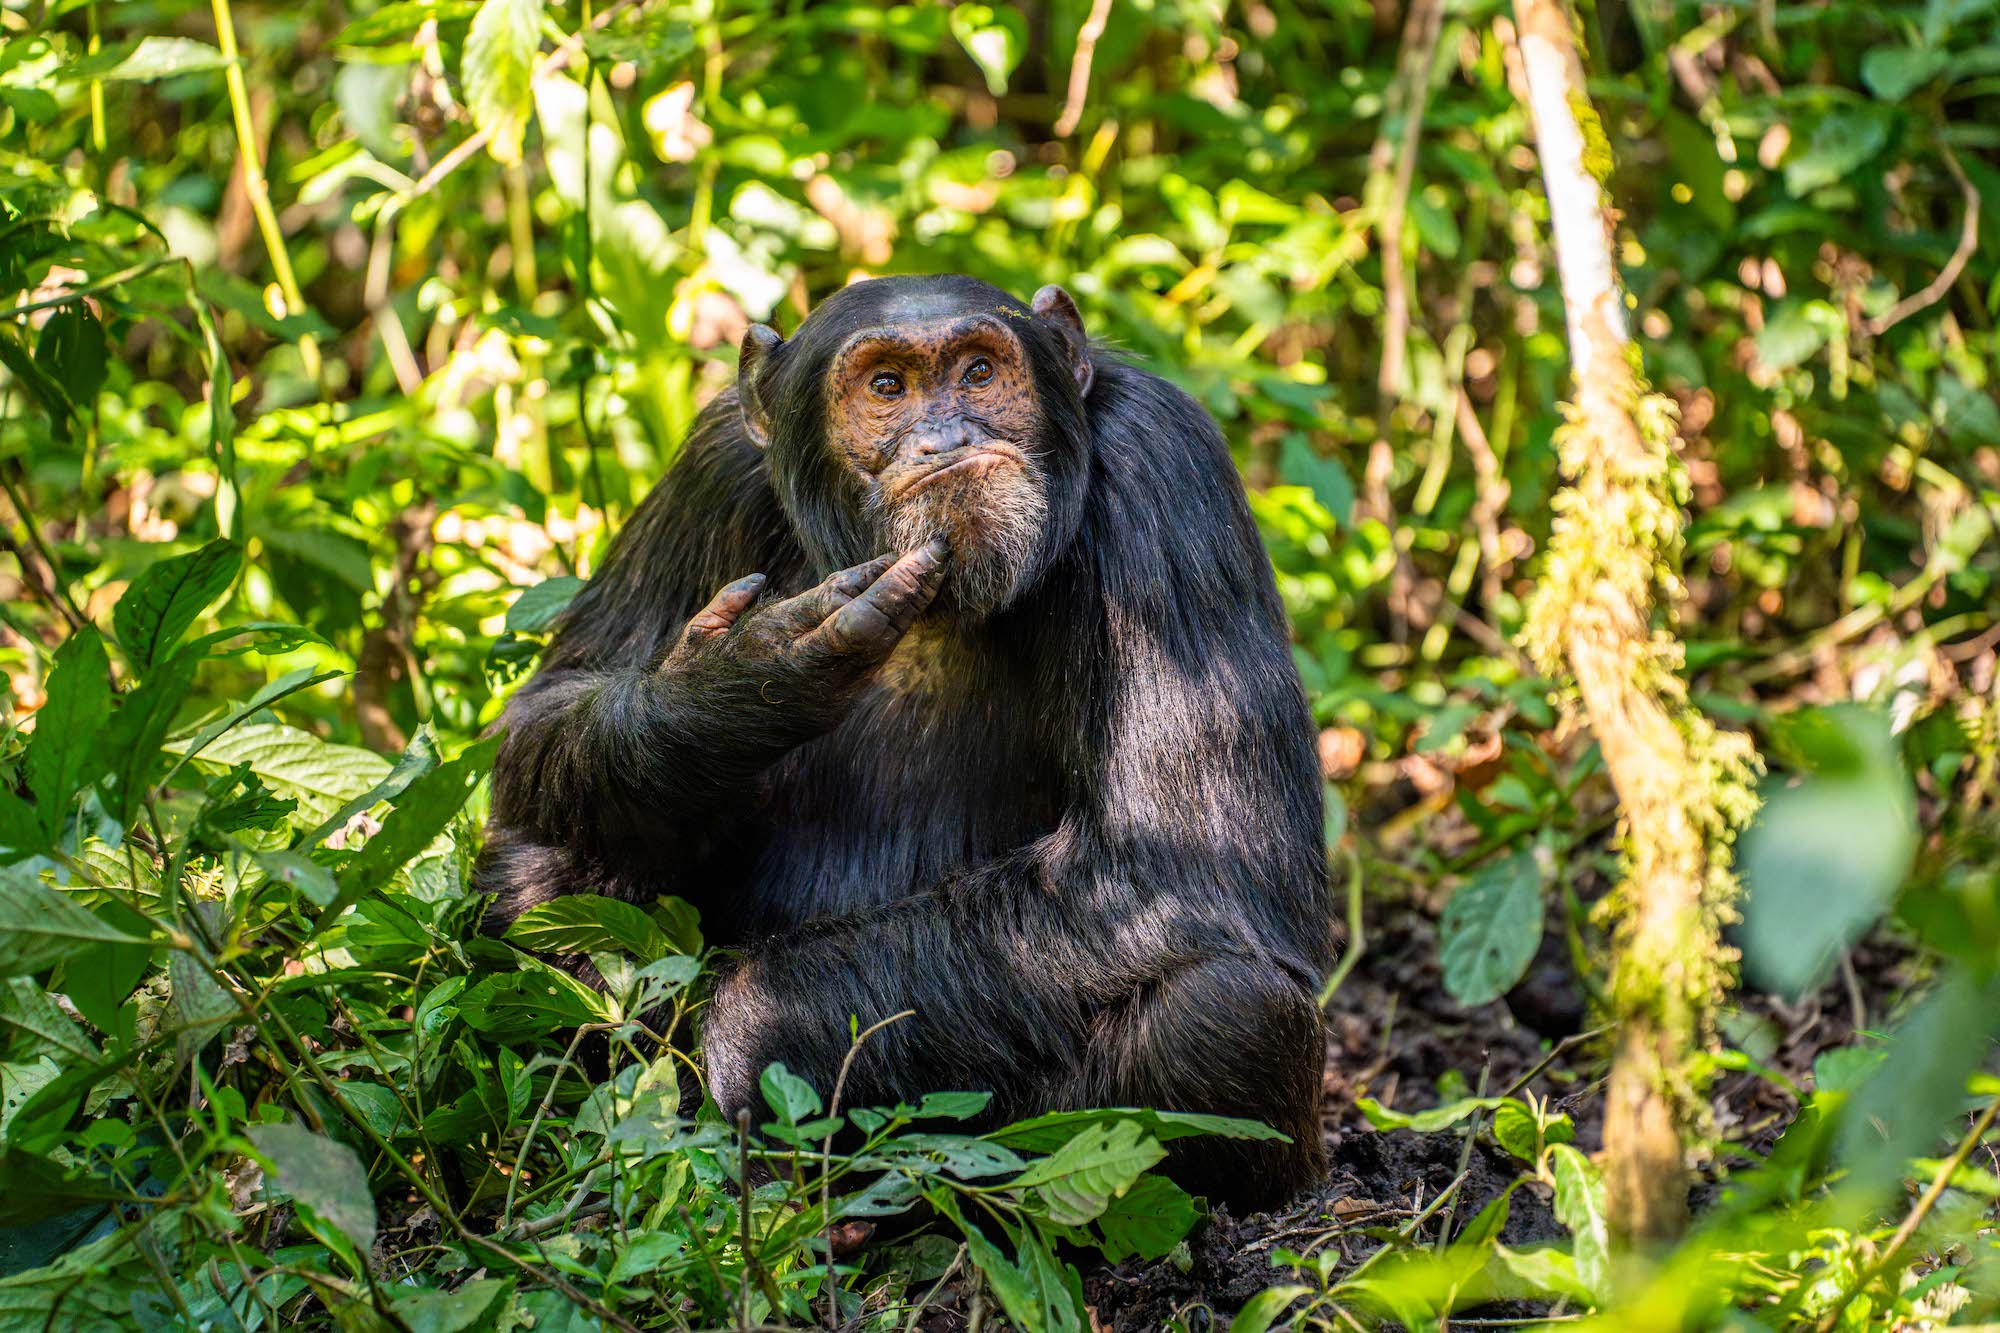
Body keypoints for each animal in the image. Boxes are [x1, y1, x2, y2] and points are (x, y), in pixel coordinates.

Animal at [476, 270, 1336, 1200]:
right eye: (886, 386)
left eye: (979, 371)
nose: (945, 436)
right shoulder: (712, 467)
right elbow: (549, 702)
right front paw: (732, 686)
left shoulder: (1165, 465)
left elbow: (1182, 858)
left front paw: (755, 1032)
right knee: (539, 869)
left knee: (1226, 1009)